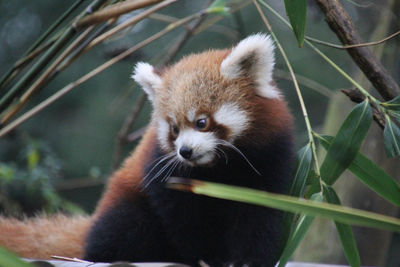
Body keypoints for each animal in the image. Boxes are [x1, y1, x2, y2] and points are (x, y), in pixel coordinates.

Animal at [0, 34, 294, 266]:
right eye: (174, 128)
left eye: (201, 122)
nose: (185, 151)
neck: (218, 170)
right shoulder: (164, 173)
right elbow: (186, 223)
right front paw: (206, 257)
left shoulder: (269, 159)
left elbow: (259, 215)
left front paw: (248, 258)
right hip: (126, 206)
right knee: (123, 231)